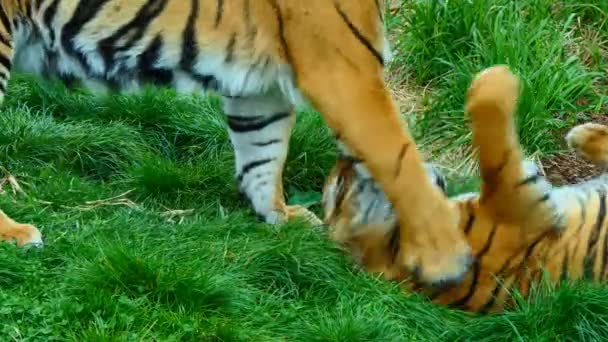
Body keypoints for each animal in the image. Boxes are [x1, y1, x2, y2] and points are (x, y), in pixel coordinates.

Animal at [0, 0, 470, 284]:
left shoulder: (261, 88)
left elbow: (263, 152)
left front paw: (279, 215)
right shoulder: (344, 72)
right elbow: (399, 159)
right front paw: (446, 256)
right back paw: (16, 233)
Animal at [324, 63, 608, 312]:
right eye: (339, 187)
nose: (345, 153)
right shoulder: (517, 207)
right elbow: (492, 151)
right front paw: (497, 78)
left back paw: (583, 134)